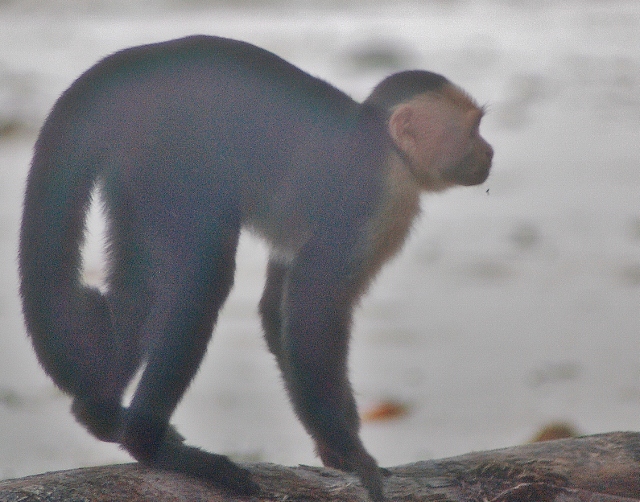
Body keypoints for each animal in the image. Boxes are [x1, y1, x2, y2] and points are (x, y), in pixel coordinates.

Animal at [18, 36, 490, 502]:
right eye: (473, 130)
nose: (489, 152)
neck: (386, 145)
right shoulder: (379, 199)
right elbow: (311, 310)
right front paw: (353, 451)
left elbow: (277, 311)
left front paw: (334, 449)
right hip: (173, 158)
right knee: (202, 282)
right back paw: (149, 444)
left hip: (137, 166)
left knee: (138, 288)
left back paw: (99, 413)